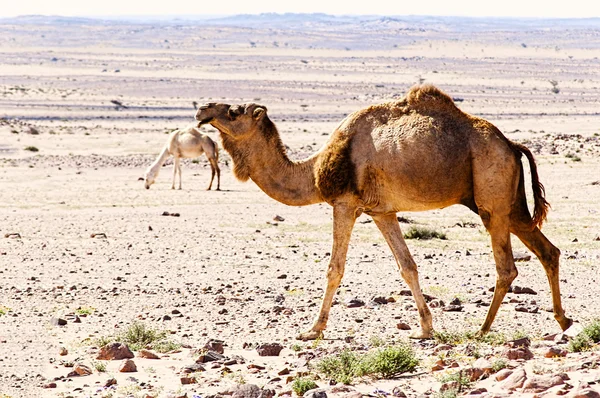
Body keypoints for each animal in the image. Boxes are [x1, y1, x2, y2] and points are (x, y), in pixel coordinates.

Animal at [196, 84, 572, 338]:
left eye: (234, 111)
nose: (202, 109)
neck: (314, 171)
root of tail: (511, 144)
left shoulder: (345, 203)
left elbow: (334, 269)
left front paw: (312, 330)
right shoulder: (381, 211)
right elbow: (408, 266)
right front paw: (425, 328)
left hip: (491, 197)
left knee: (507, 267)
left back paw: (481, 329)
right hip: (512, 204)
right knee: (548, 251)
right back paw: (563, 320)